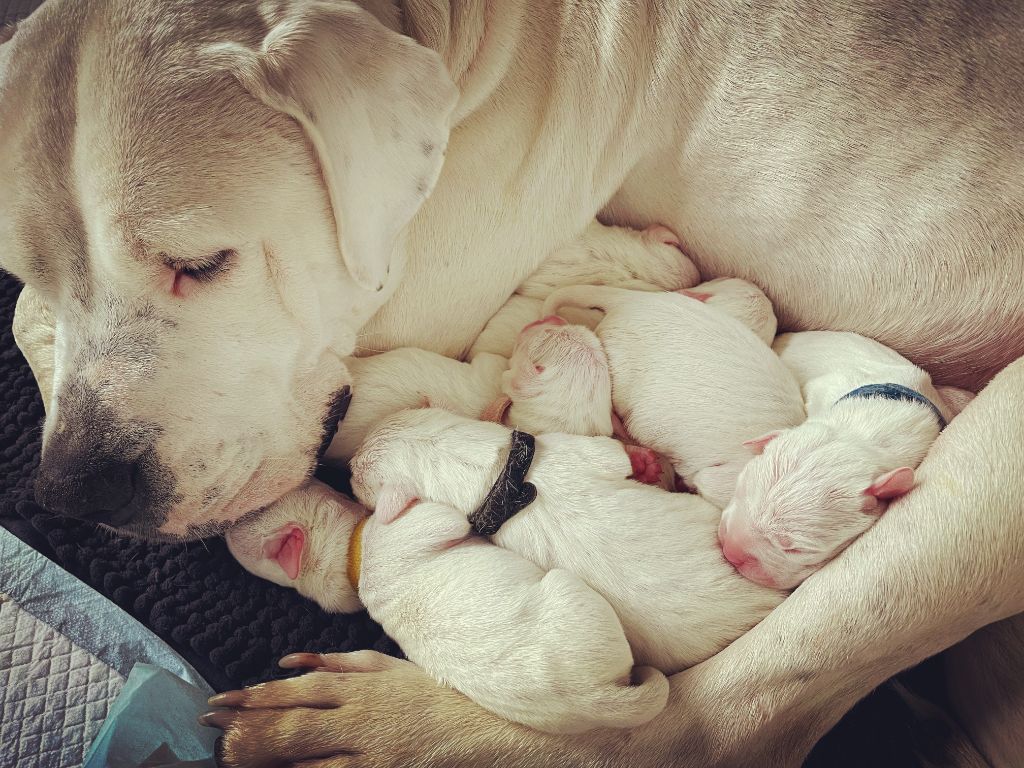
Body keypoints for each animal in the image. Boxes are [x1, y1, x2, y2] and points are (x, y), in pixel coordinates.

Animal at [227, 481, 667, 733]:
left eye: (254, 509)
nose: (222, 524)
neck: (351, 560)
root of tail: (597, 700)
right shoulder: (408, 532)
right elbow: (444, 520)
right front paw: (394, 495)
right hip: (572, 591)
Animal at [346, 409, 782, 671]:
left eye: (354, 475)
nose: (346, 465)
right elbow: (614, 454)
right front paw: (642, 462)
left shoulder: (570, 447)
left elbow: (612, 454)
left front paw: (642, 461)